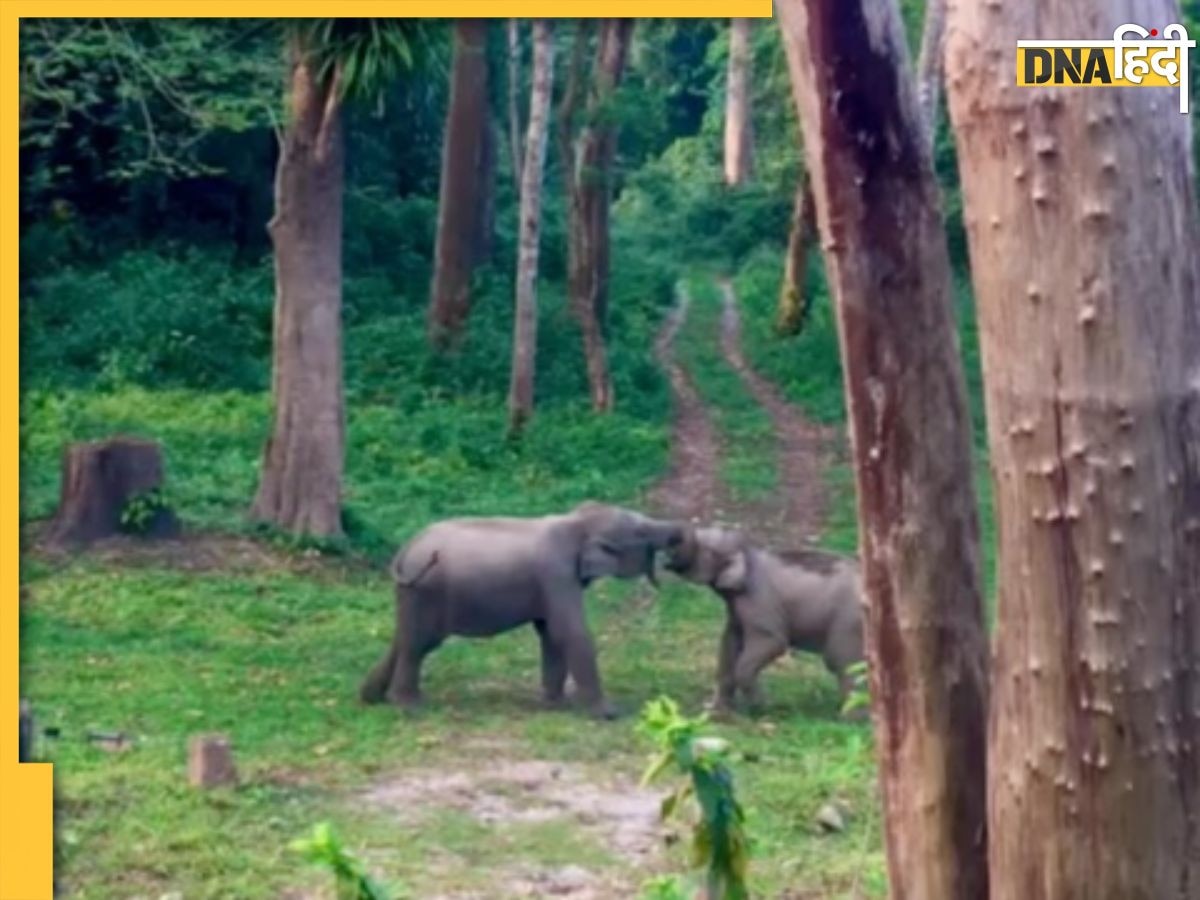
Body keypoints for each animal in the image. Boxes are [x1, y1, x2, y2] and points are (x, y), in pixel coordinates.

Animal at [357, 504, 686, 724]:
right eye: (641, 531)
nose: (683, 534)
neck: (575, 521)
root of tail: (405, 548)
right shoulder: (555, 572)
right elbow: (569, 631)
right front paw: (609, 713)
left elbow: (550, 634)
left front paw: (555, 705)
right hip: (427, 590)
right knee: (418, 645)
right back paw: (409, 706)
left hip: (411, 594)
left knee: (402, 639)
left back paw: (371, 698)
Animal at [667, 525, 864, 715]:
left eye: (702, 545)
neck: (747, 550)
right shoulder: (736, 611)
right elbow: (728, 644)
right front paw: (715, 711)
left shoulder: (759, 601)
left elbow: (772, 643)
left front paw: (760, 708)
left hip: (848, 621)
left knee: (843, 662)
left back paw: (850, 719)